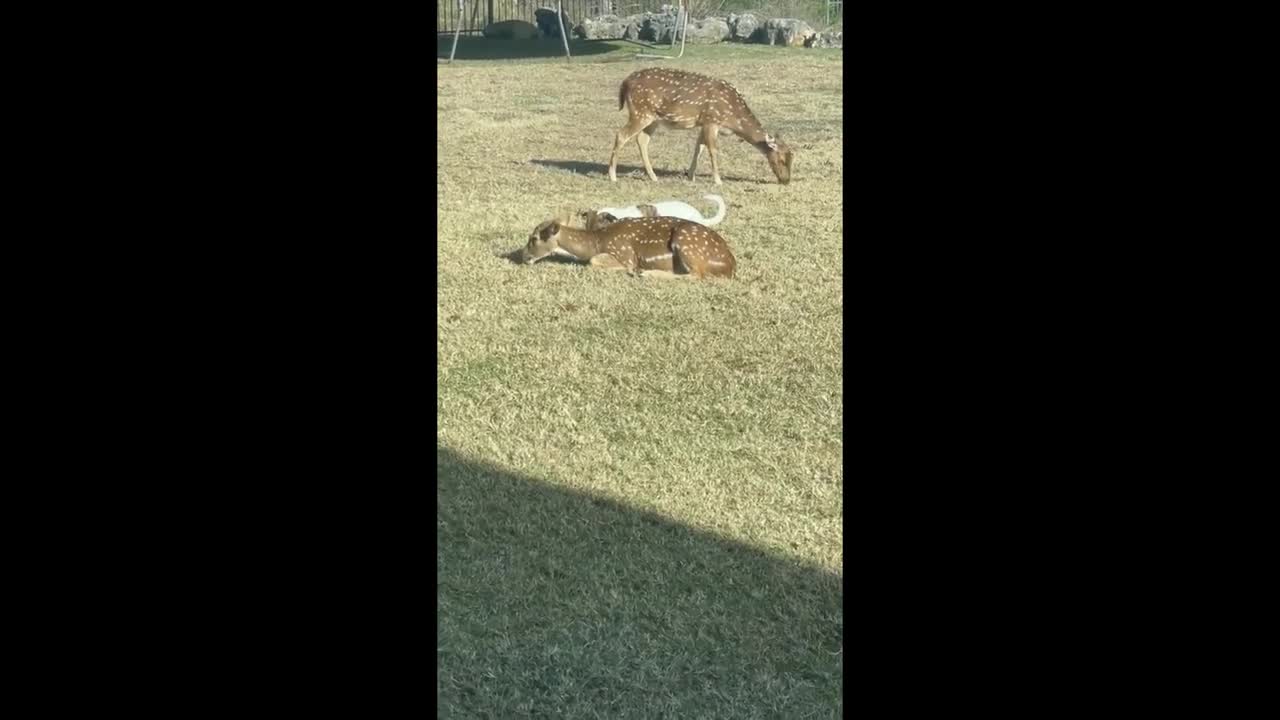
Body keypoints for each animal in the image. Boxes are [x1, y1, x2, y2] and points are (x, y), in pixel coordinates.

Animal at [519, 212, 742, 278]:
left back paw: (645, 273)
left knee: (697, 275)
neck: (596, 242)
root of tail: (730, 265)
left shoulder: (623, 254)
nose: (523, 256)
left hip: (687, 242)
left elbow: (594, 261)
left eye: (534, 238)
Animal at [606, 67, 788, 184]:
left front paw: (691, 176)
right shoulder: (712, 120)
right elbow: (712, 149)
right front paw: (718, 180)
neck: (732, 118)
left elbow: (698, 147)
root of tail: (625, 83)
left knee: (642, 139)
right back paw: (612, 176)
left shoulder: (703, 123)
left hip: (653, 119)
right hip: (641, 112)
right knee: (621, 135)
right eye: (782, 159)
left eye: (791, 157)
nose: (786, 180)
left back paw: (653, 176)